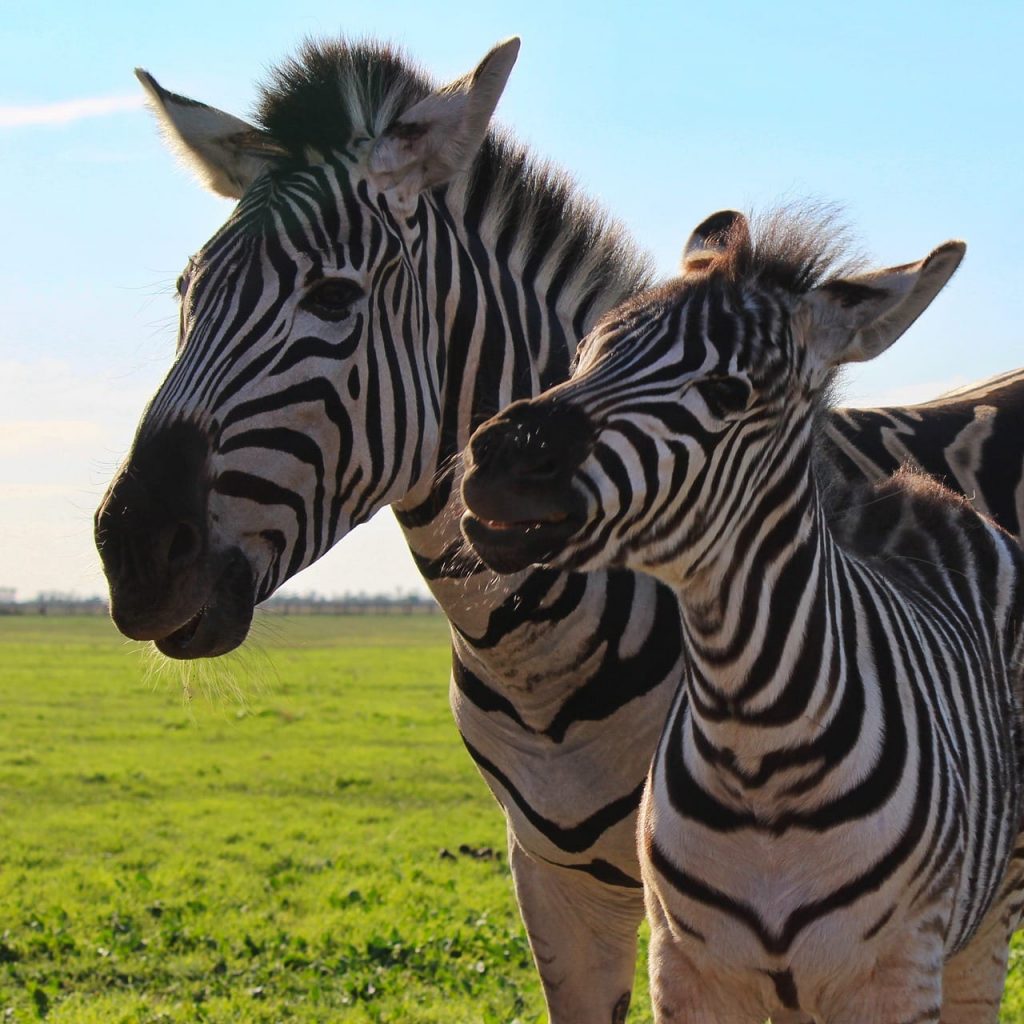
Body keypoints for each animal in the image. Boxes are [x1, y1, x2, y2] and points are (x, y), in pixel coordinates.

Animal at [460, 208, 1024, 1023]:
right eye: (583, 356)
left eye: (727, 391)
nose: (495, 460)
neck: (758, 748)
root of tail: (924, 496)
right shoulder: (687, 966)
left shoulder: (893, 972)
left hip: (985, 921)